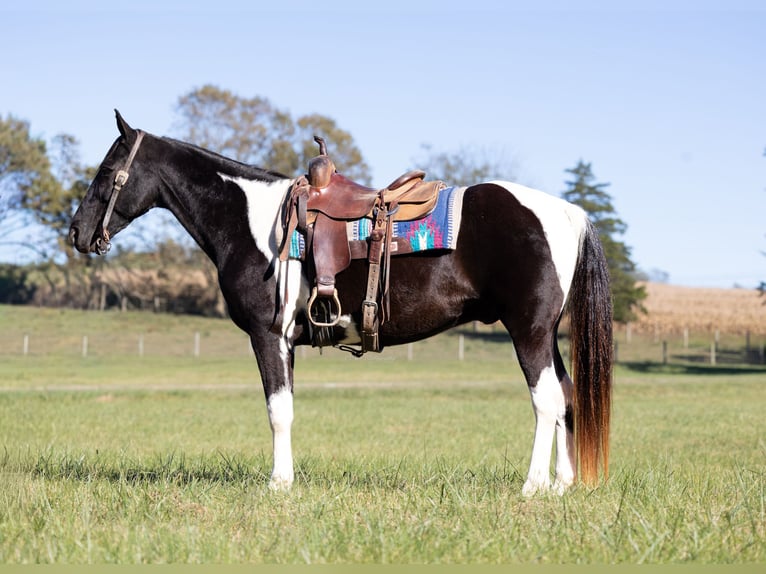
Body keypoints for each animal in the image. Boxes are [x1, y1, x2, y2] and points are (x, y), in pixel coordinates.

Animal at [69, 111, 613, 495]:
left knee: (546, 400)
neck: (252, 222)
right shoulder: (287, 341)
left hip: (528, 331)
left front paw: (278, 484)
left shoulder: (269, 336)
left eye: (108, 170)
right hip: (546, 334)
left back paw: (533, 487)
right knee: (565, 396)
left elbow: (278, 411)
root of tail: (567, 213)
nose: (76, 232)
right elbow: (286, 408)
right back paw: (561, 485)